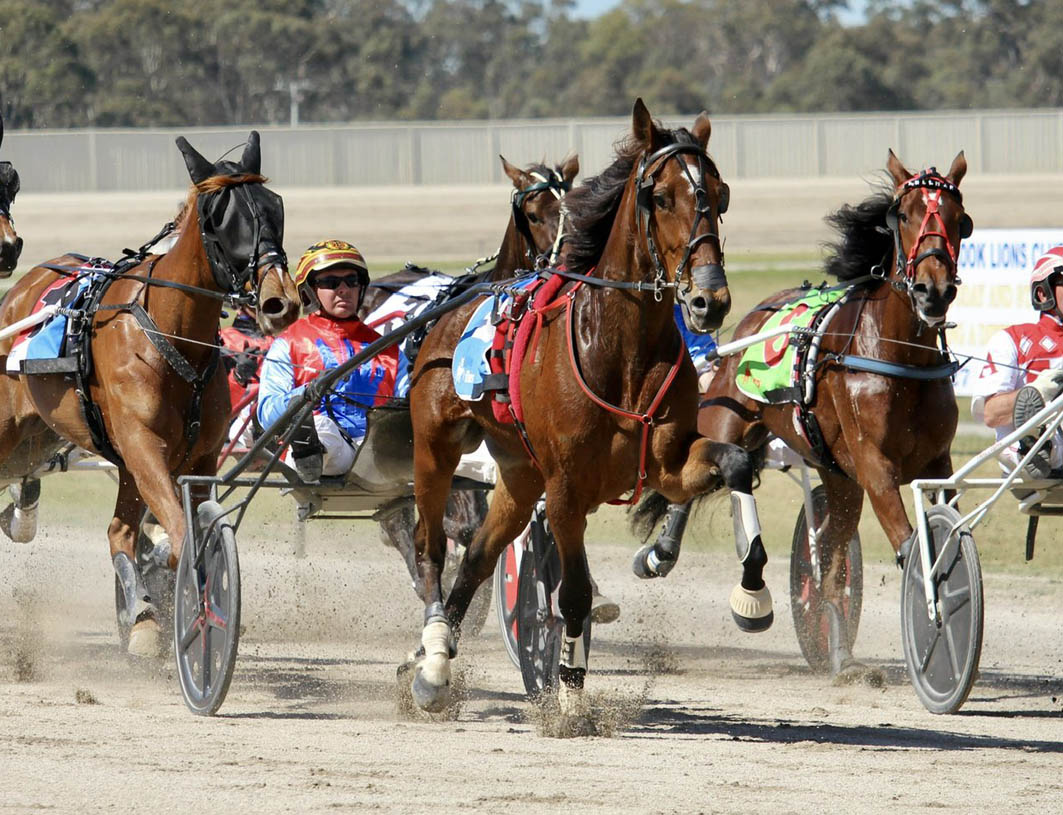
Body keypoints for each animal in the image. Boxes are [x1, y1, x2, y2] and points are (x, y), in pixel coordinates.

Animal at [0, 131, 300, 656]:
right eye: (219, 217)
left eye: (275, 206)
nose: (278, 301)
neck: (169, 334)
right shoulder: (144, 449)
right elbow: (180, 536)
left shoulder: (197, 456)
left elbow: (177, 534)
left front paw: (158, 616)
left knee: (117, 531)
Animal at [405, 98, 750, 713]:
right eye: (660, 196)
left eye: (720, 192)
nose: (709, 300)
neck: (620, 351)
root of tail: (455, 306)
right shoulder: (566, 487)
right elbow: (571, 594)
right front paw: (567, 692)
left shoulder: (669, 461)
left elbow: (736, 463)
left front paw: (748, 589)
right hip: (436, 450)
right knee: (430, 550)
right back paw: (435, 651)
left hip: (519, 475)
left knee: (479, 556)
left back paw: (435, 666)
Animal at [678, 150, 970, 678]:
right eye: (905, 214)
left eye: (960, 220)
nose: (932, 291)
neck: (897, 355)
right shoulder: (875, 466)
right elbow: (908, 544)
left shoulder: (937, 462)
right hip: (727, 415)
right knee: (695, 474)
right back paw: (662, 555)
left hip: (838, 475)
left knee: (831, 563)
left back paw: (837, 650)